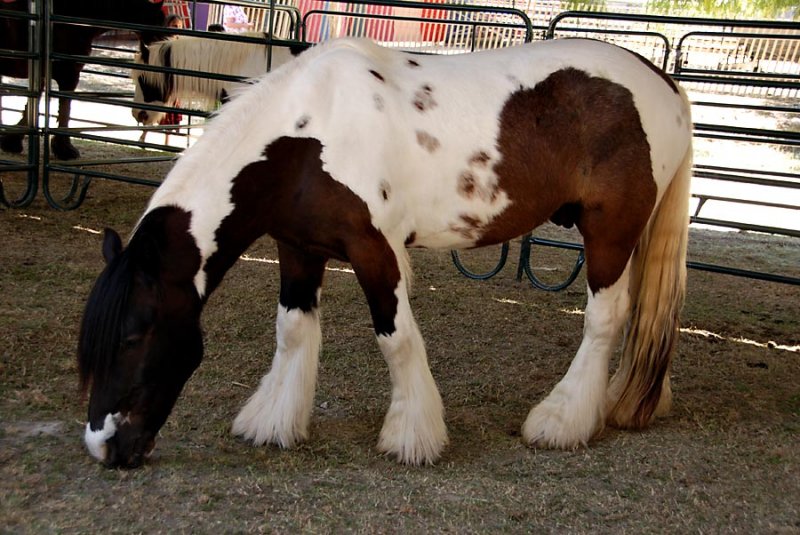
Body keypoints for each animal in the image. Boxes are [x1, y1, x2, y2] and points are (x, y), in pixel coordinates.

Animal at [0, 0, 166, 159]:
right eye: (157, 26)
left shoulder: (43, 76)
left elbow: (33, 104)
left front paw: (11, 142)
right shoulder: (69, 75)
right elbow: (64, 109)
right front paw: (64, 149)